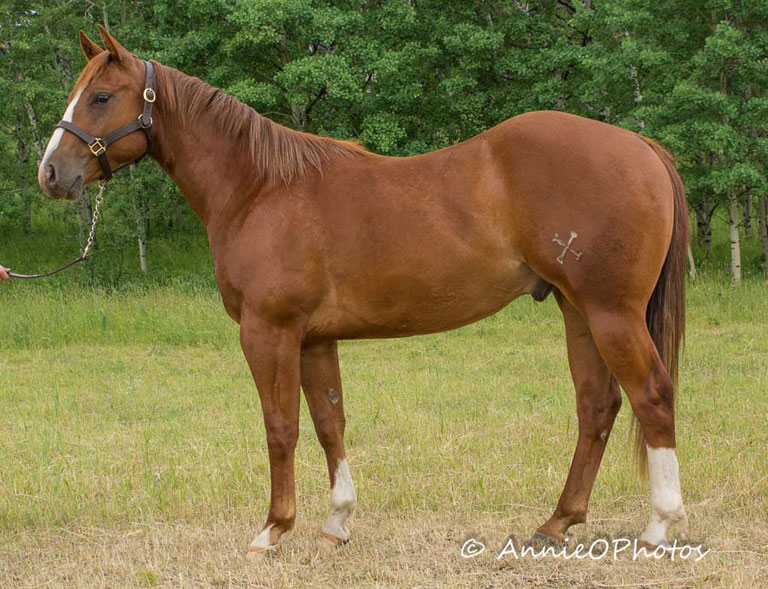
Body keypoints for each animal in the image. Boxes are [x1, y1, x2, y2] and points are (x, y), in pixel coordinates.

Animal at [36, 26, 689, 557]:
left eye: (101, 97)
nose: (51, 174)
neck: (260, 189)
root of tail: (639, 145)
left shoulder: (268, 331)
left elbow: (280, 427)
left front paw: (272, 531)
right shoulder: (314, 339)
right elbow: (330, 423)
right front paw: (336, 524)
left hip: (610, 312)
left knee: (652, 395)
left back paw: (660, 527)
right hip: (577, 311)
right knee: (597, 407)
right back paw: (556, 524)